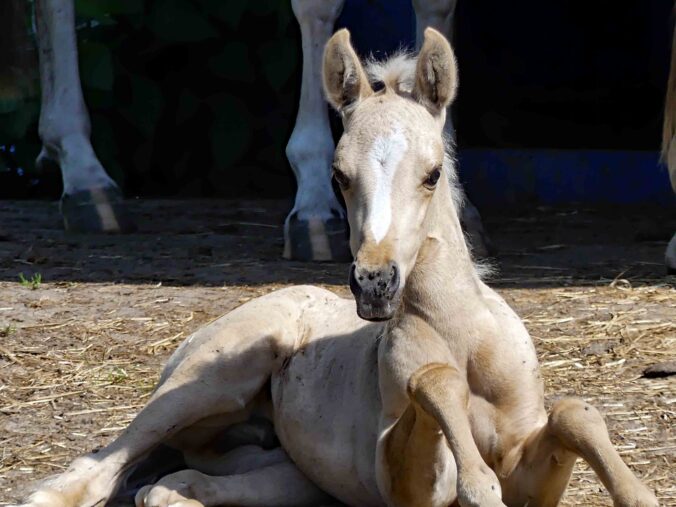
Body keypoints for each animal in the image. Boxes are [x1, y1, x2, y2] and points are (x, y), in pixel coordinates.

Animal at [17, 26, 660, 507]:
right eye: (337, 176)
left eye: (432, 173)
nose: (375, 283)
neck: (463, 333)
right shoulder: (401, 479)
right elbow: (432, 384)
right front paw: (478, 484)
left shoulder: (528, 468)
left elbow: (574, 414)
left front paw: (637, 493)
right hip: (207, 380)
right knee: (112, 460)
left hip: (288, 473)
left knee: (183, 480)